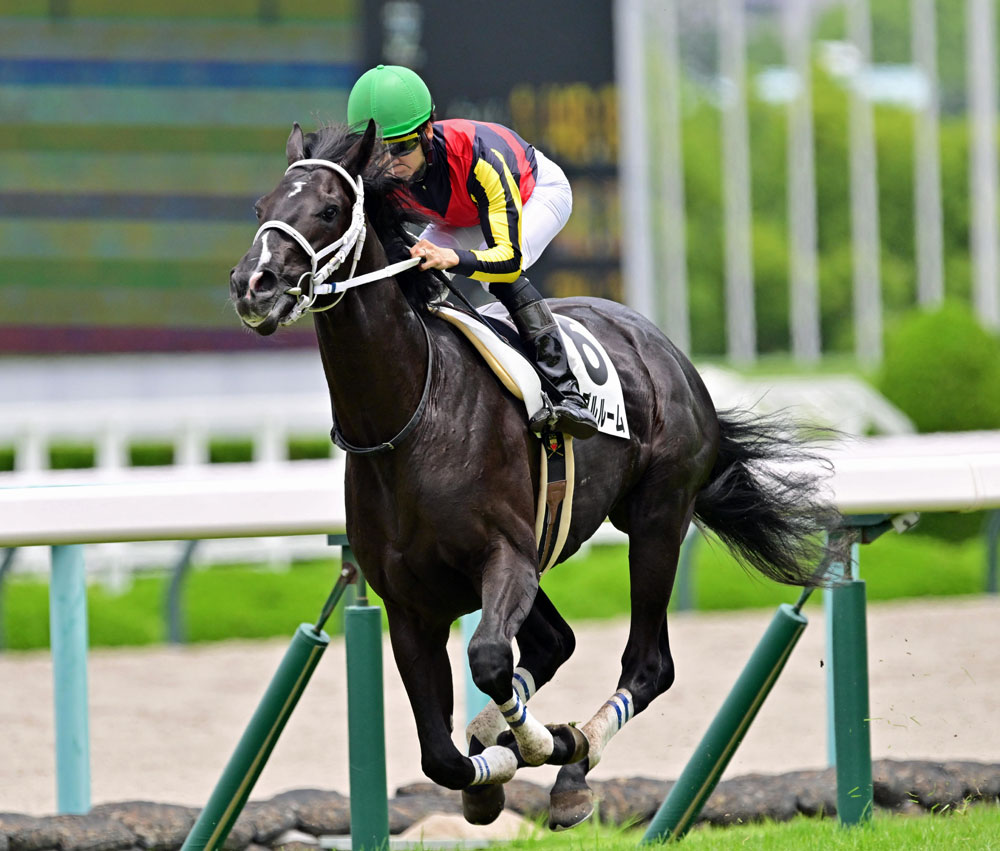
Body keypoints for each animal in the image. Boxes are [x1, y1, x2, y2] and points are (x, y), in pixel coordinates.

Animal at [229, 120, 836, 829]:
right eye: (262, 208)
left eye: (328, 209)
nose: (253, 284)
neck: (410, 415)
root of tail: (665, 349)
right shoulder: (410, 604)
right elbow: (440, 754)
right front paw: (487, 775)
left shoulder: (506, 558)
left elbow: (490, 660)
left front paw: (545, 744)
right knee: (556, 644)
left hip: (657, 517)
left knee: (647, 664)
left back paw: (574, 764)